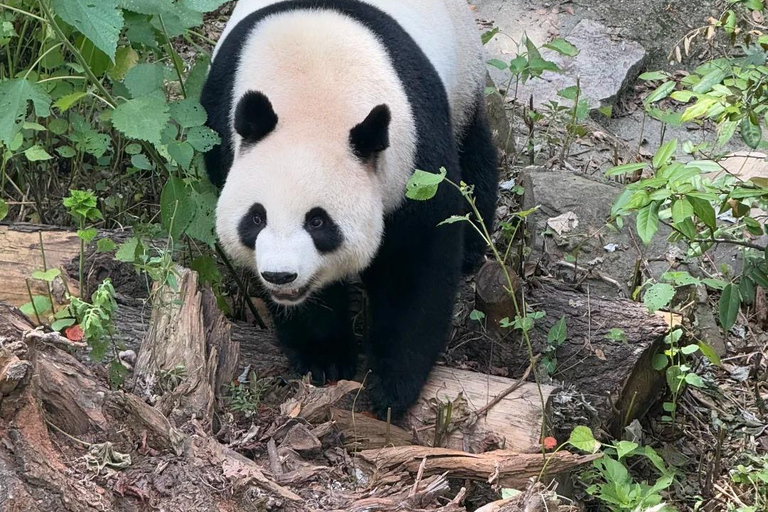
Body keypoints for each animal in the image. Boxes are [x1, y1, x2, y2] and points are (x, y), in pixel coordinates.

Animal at [201, 0, 499, 419]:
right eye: (256, 218)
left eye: (318, 221)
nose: (280, 276)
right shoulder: (222, 130)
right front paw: (324, 357)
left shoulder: (412, 148)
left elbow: (416, 261)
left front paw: (392, 386)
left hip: (465, 69)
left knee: (473, 151)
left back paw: (474, 247)